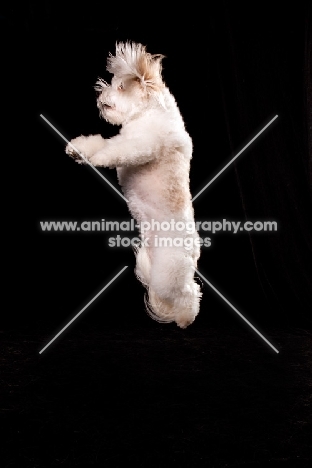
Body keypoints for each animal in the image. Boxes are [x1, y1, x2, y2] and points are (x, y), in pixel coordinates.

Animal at [66, 41, 202, 330]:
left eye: (120, 87)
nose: (99, 95)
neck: (147, 115)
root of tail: (194, 254)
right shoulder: (124, 137)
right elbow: (100, 141)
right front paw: (78, 150)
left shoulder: (140, 145)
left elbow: (114, 150)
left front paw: (95, 158)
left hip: (167, 274)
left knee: (189, 293)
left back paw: (184, 319)